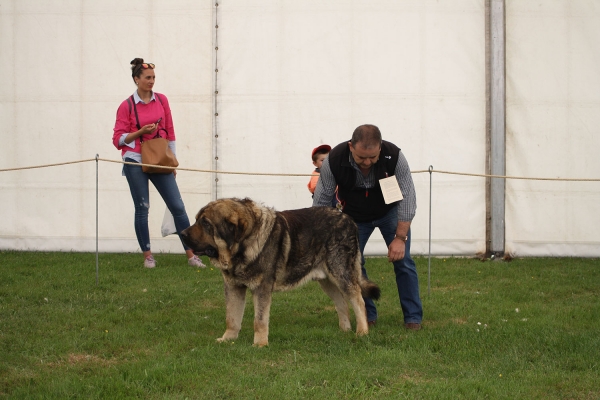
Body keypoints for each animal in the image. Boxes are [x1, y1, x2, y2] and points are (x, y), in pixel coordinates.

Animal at [180, 198, 382, 346]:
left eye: (205, 223)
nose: (182, 234)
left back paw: (362, 332)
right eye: (197, 220)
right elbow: (232, 317)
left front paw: (260, 344)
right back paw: (344, 330)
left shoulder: (261, 289)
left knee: (358, 300)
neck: (244, 245)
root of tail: (348, 219)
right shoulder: (233, 287)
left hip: (341, 273)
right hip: (326, 280)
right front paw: (228, 339)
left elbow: (259, 320)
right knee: (342, 303)